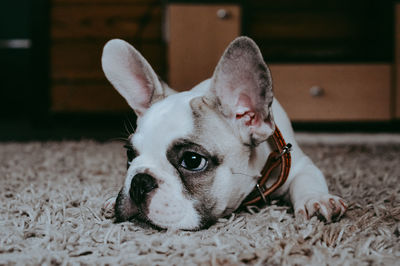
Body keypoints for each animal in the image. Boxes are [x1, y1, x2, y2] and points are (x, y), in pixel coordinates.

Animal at [101, 36, 346, 230]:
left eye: (192, 160)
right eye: (129, 154)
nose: (139, 182)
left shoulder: (300, 164)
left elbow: (307, 180)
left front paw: (317, 200)